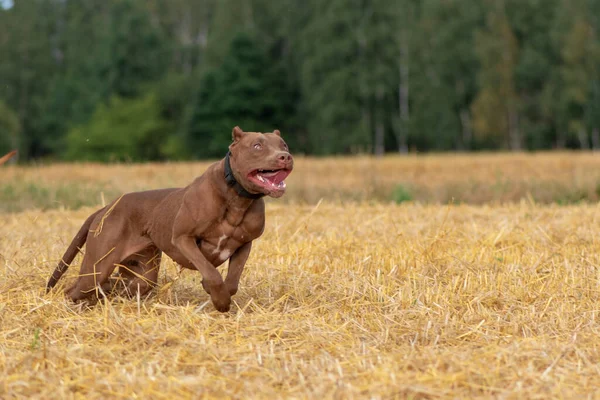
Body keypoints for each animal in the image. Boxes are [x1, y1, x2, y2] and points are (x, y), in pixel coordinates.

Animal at [47, 128, 292, 312]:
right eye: (257, 146)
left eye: (284, 144)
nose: (285, 156)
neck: (237, 197)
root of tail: (106, 207)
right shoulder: (183, 238)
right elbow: (211, 273)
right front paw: (219, 299)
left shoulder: (244, 244)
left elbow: (231, 281)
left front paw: (220, 294)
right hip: (97, 267)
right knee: (75, 289)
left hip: (141, 275)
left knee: (116, 286)